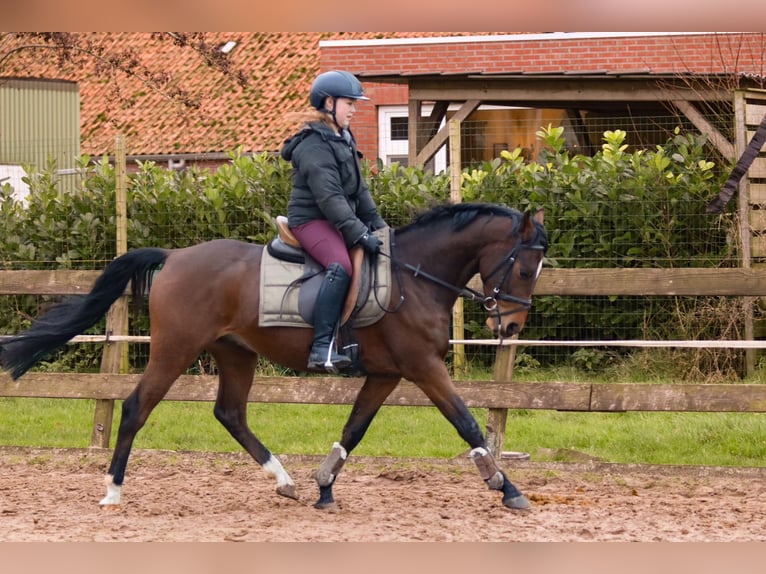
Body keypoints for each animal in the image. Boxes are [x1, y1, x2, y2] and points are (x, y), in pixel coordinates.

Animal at [1, 202, 552, 512]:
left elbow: (354, 429)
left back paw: (284, 480)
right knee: (138, 408)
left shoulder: (387, 375)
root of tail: (175, 256)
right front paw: (505, 487)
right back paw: (113, 491)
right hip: (175, 349)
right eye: (526, 270)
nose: (509, 328)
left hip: (235, 354)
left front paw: (324, 488)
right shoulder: (422, 368)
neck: (415, 277)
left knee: (230, 413)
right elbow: (467, 423)